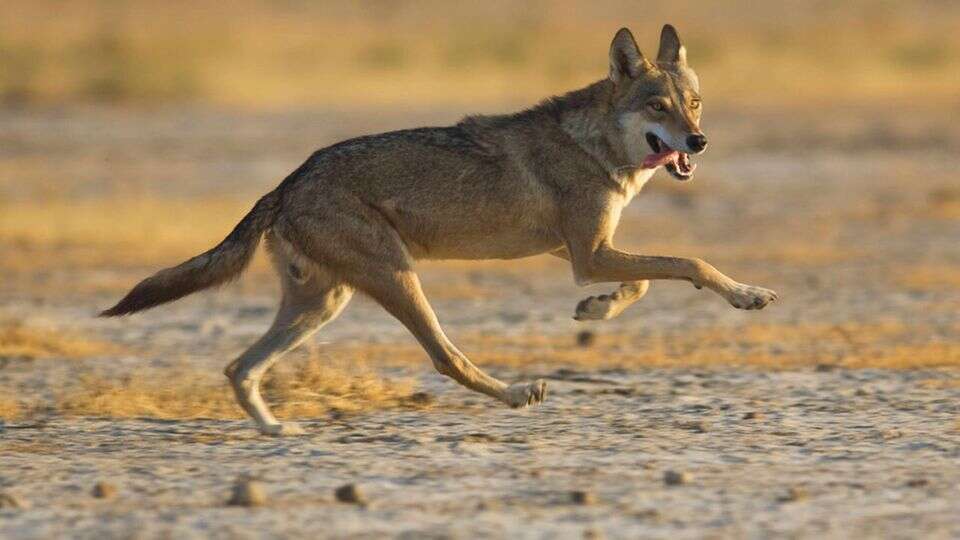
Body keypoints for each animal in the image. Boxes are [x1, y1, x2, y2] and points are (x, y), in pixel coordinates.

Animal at [103, 27, 780, 436]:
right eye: (658, 107)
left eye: (693, 104)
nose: (699, 141)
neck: (597, 147)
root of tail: (288, 181)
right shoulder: (588, 253)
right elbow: (689, 262)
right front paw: (746, 295)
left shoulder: (579, 251)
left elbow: (643, 283)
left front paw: (595, 310)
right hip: (397, 279)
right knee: (444, 358)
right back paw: (515, 393)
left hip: (322, 303)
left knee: (238, 368)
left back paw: (273, 429)